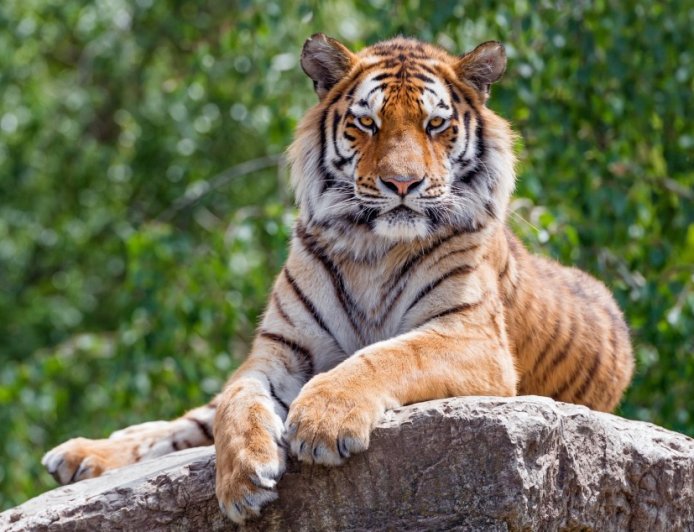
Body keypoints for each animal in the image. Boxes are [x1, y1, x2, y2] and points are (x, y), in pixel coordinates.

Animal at [41, 34, 634, 524]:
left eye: (435, 125)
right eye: (367, 123)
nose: (403, 184)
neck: (373, 248)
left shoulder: (472, 338)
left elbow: (387, 355)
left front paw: (322, 422)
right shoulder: (278, 349)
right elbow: (237, 400)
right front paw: (241, 479)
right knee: (186, 423)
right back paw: (80, 455)